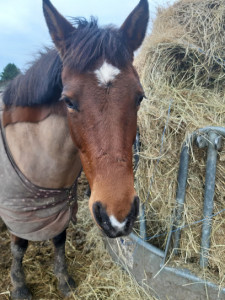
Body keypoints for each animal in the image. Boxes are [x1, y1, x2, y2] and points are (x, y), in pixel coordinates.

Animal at [0, 1, 149, 298]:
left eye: (139, 97)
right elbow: (19, 245)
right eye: (68, 101)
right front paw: (19, 285)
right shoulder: (16, 211)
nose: (117, 217)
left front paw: (63, 279)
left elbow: (59, 238)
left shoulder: (59, 207)